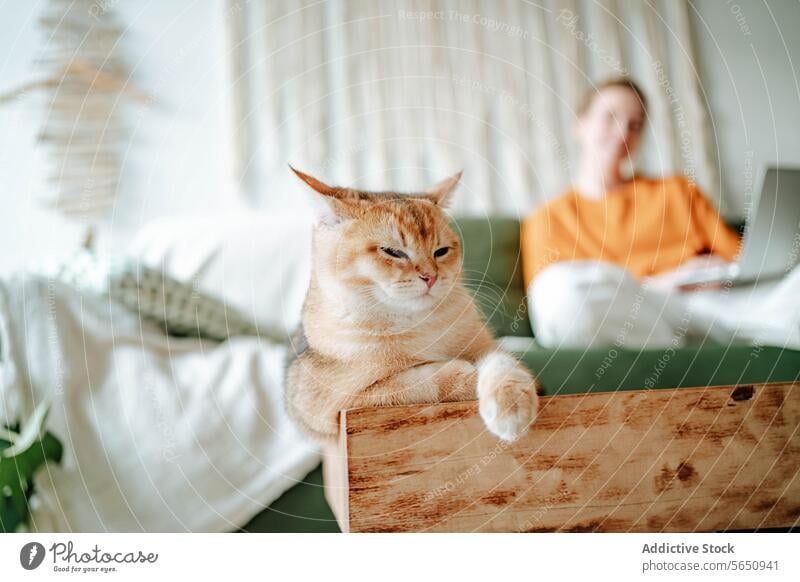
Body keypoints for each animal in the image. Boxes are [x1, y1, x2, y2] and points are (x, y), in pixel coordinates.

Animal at [284, 167, 540, 444]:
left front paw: (511, 402)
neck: (415, 322)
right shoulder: (337, 406)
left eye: (441, 251)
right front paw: (464, 374)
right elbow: (411, 382)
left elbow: (503, 361)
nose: (431, 276)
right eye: (393, 252)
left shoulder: (486, 345)